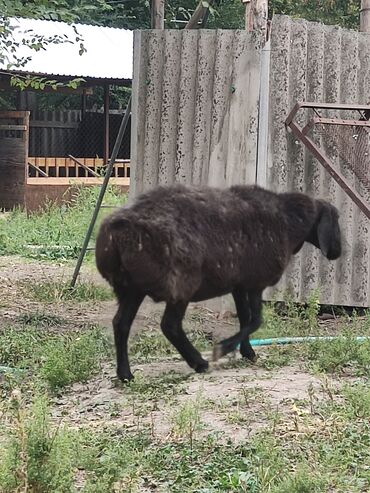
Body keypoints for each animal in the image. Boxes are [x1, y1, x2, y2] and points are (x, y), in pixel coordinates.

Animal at [94, 183, 342, 378]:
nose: (337, 252)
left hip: (131, 288)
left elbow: (244, 318)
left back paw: (125, 374)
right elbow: (255, 320)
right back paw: (199, 363)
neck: (289, 222)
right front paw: (224, 348)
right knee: (170, 325)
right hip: (180, 283)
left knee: (121, 324)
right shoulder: (256, 282)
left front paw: (247, 352)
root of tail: (117, 231)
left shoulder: (239, 283)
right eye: (337, 219)